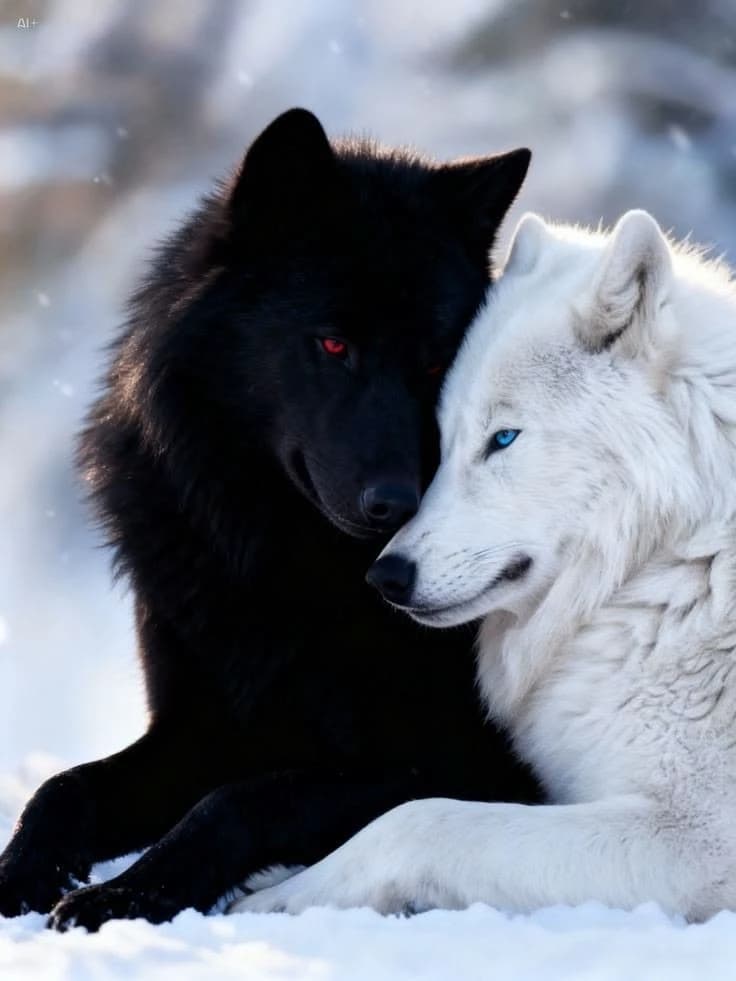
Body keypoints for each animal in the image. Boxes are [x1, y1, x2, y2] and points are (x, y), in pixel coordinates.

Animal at [0, 109, 536, 930]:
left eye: (436, 359)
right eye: (333, 342)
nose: (400, 504)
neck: (283, 567)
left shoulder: (462, 761)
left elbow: (241, 800)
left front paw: (128, 893)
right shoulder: (199, 731)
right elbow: (64, 785)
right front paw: (20, 875)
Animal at [236, 209, 736, 921]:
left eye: (503, 438)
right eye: (440, 443)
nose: (388, 577)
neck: (671, 559)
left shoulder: (696, 839)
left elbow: (419, 820)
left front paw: (279, 899)